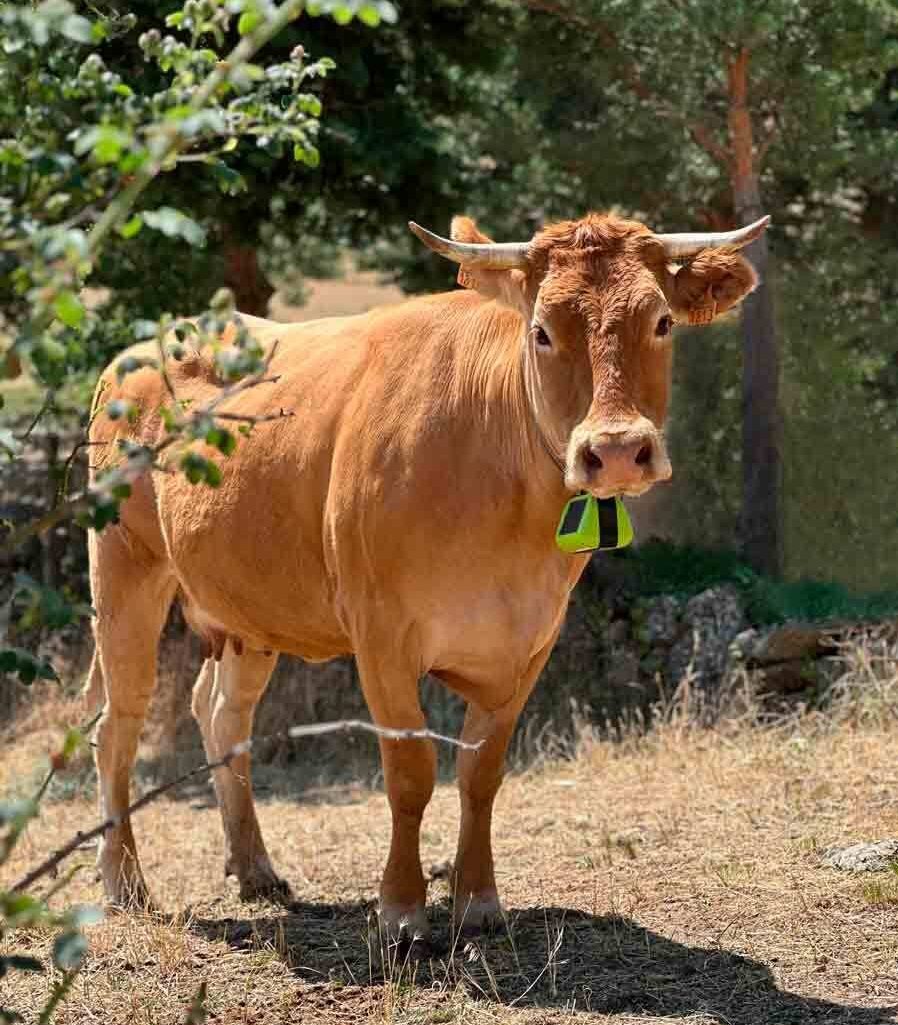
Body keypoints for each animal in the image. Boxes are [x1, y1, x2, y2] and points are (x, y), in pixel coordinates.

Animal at [86, 211, 767, 942]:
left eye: (661, 321)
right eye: (542, 330)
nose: (614, 450)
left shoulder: (530, 643)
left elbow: (481, 772)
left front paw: (478, 900)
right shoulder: (382, 638)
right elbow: (411, 773)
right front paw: (403, 911)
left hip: (249, 607)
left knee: (219, 713)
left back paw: (254, 867)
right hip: (124, 570)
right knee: (118, 723)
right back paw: (126, 882)